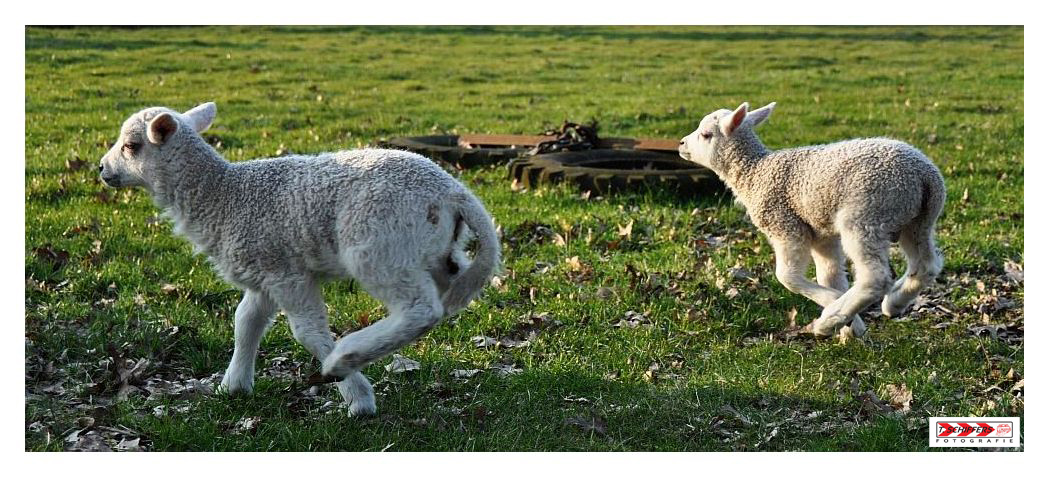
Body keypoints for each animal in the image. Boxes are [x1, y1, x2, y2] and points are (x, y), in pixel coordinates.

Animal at [98, 102, 499, 417]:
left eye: (132, 146)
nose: (101, 169)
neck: (223, 196)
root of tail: (452, 191)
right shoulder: (261, 270)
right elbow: (245, 322)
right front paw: (234, 385)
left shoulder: (285, 274)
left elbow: (308, 332)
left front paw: (358, 399)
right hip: (433, 251)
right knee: (450, 288)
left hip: (377, 245)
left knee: (420, 309)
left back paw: (344, 358)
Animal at [679, 101, 952, 339]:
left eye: (706, 135)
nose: (681, 143)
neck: (754, 172)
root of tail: (924, 176)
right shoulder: (821, 234)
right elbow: (830, 276)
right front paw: (851, 327)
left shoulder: (786, 225)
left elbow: (787, 277)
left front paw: (833, 309)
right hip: (918, 220)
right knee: (926, 265)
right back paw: (893, 304)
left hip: (866, 215)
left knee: (875, 277)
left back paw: (828, 321)